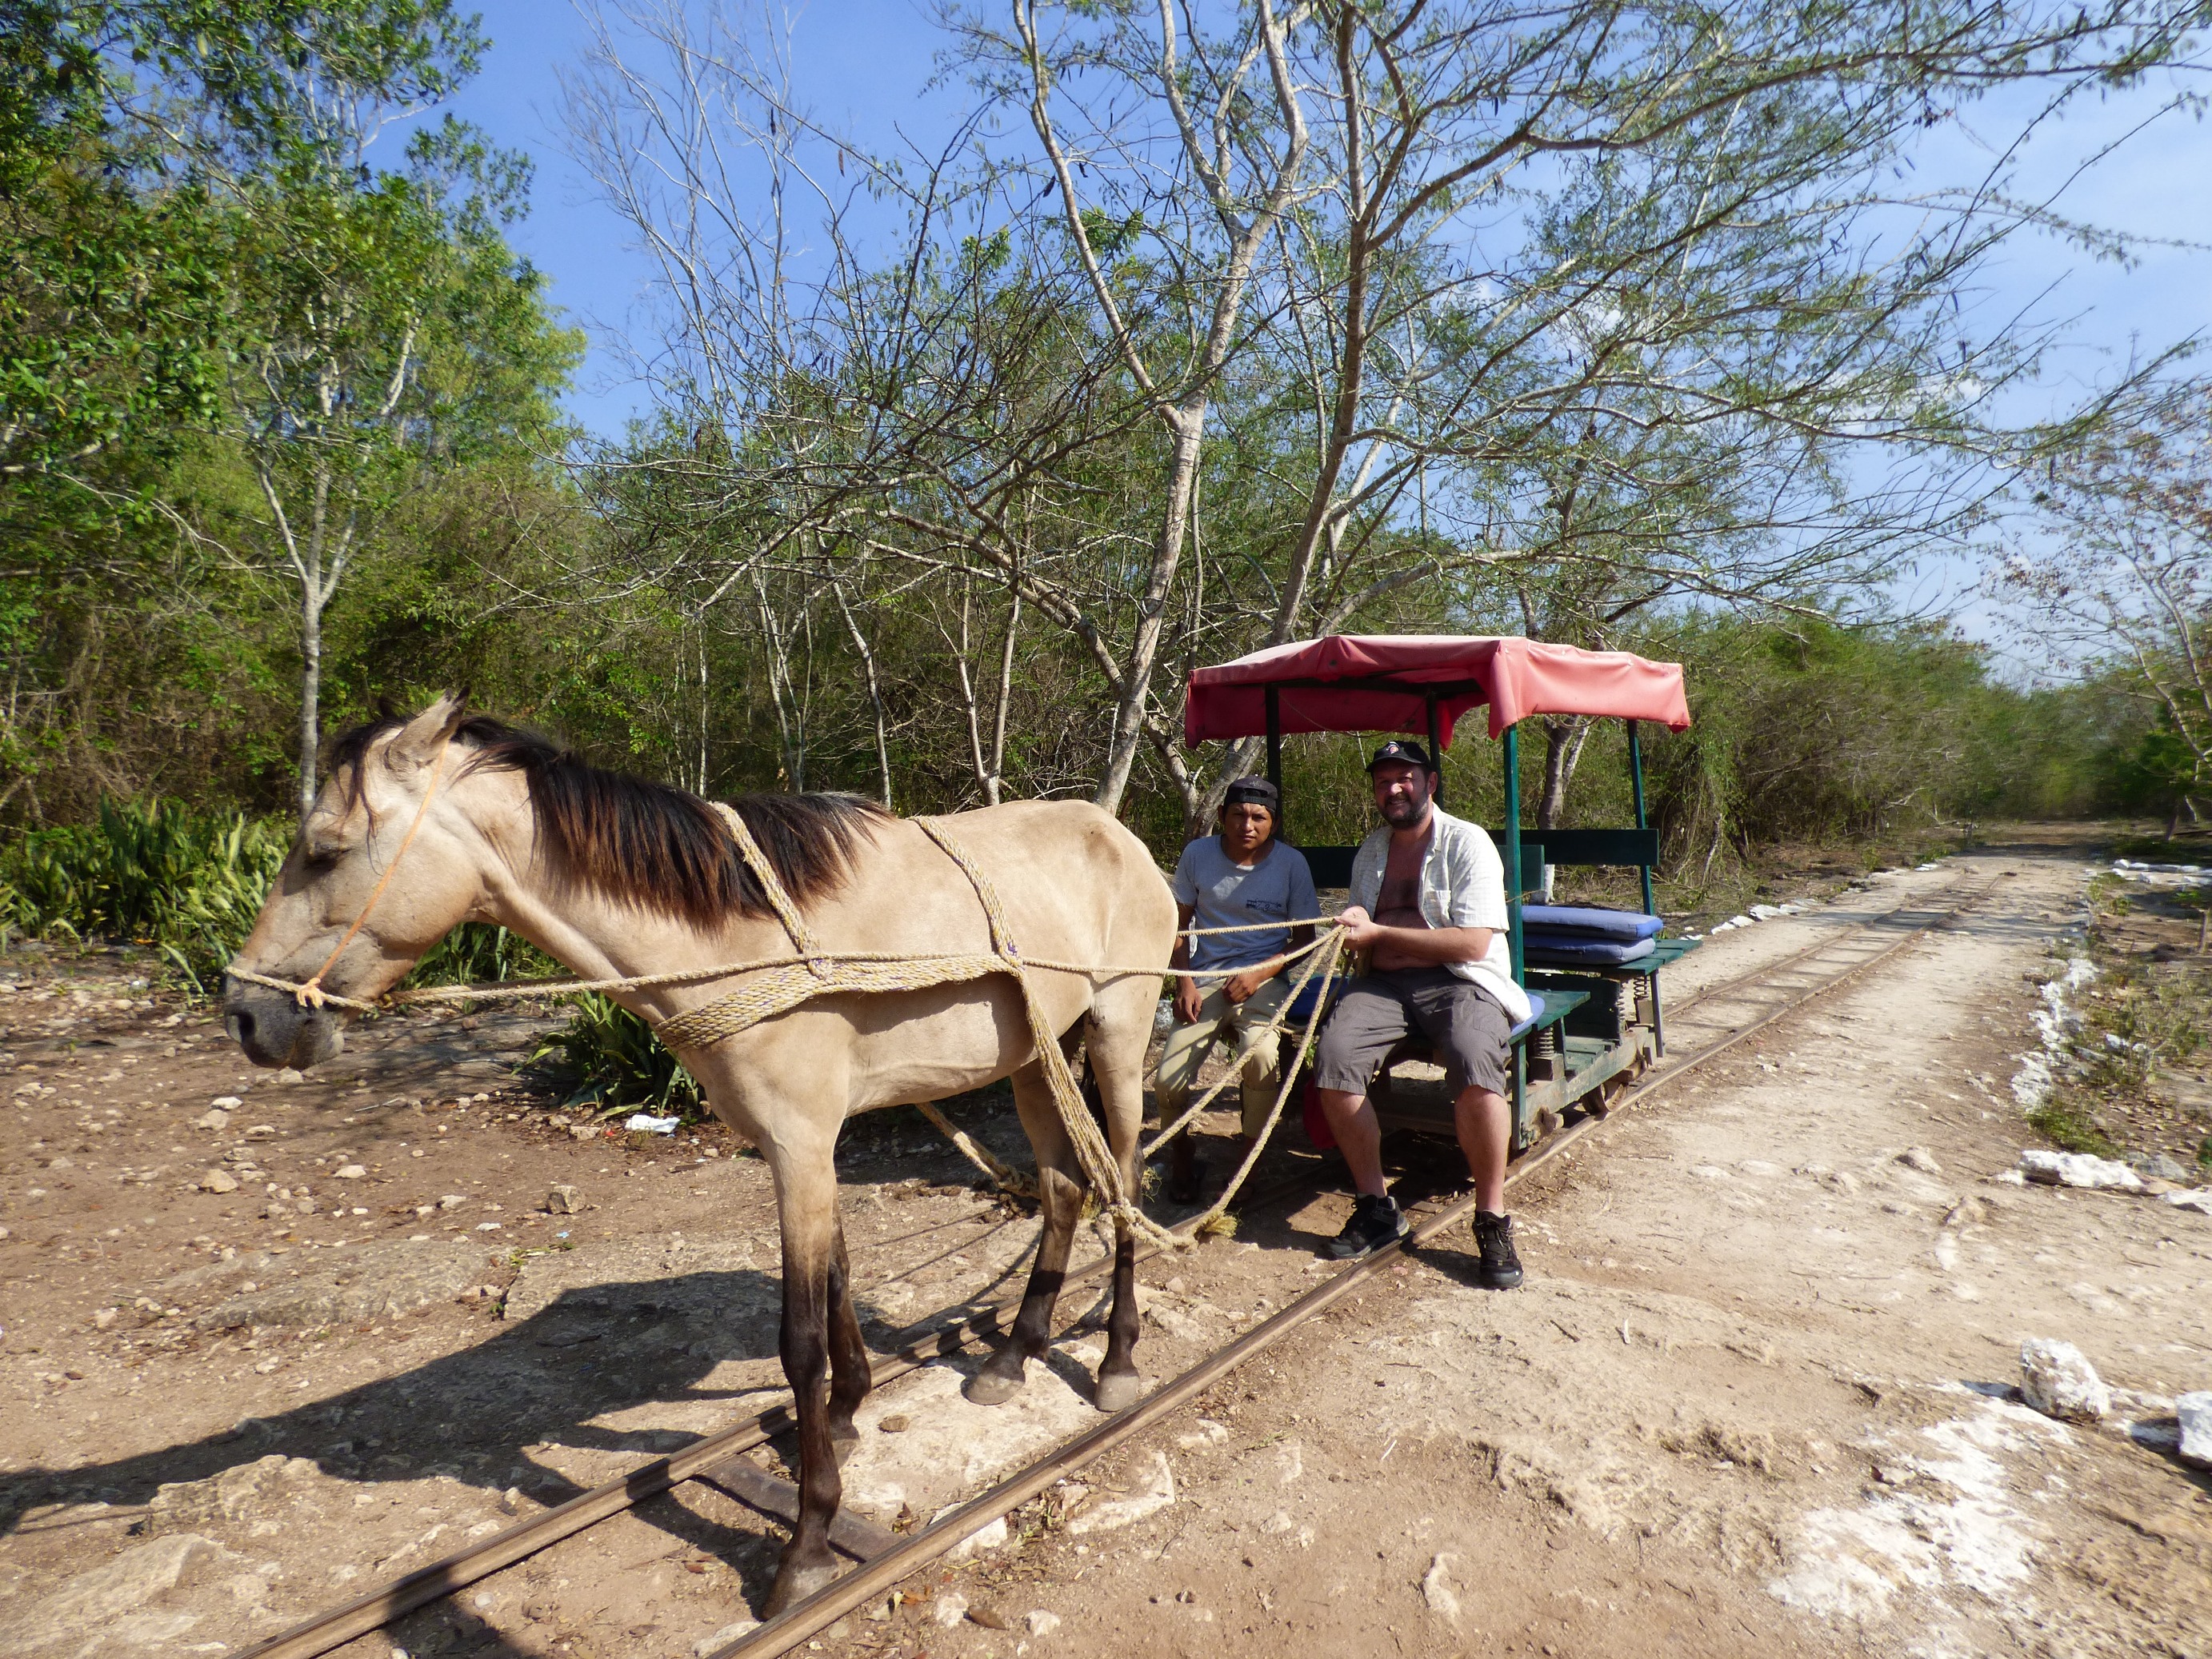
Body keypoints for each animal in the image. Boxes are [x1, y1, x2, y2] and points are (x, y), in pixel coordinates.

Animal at [224, 694, 1186, 1619]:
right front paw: (846, 1413)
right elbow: (837, 1284)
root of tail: (1122, 837)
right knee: (1062, 1191)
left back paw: (1116, 1363)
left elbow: (799, 1339)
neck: (736, 940)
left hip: (1117, 1034)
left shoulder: (801, 1143)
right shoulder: (800, 1144)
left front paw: (808, 1538)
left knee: (1124, 1182)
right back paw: (1012, 1357)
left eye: (324, 850)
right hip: (1033, 1057)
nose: (244, 1013)